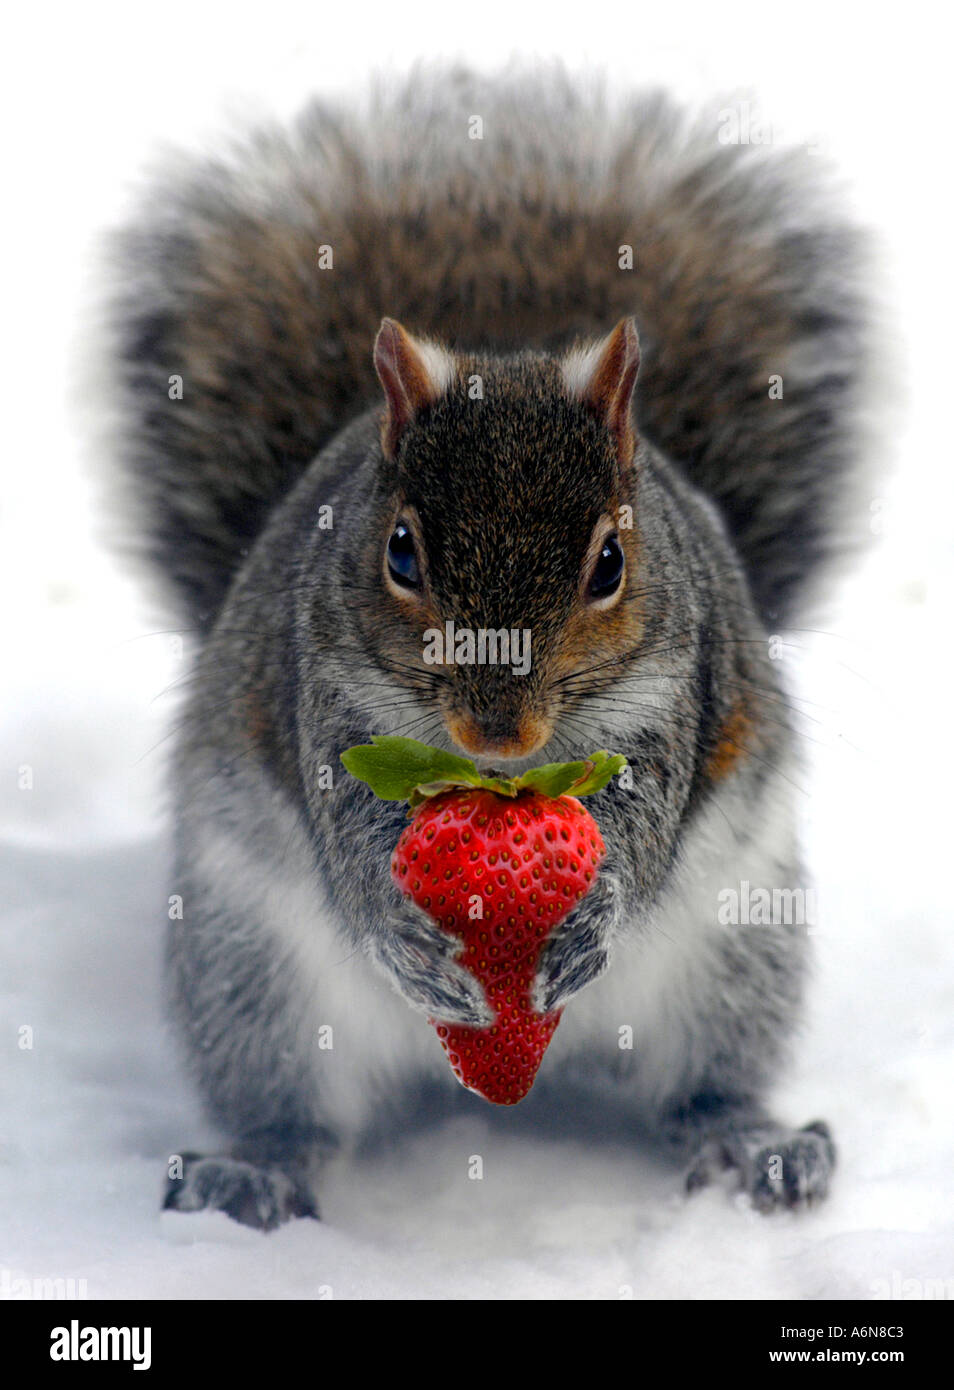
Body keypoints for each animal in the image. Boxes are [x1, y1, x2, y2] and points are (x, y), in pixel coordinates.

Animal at [104, 70, 870, 1229]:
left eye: (610, 562)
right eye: (400, 551)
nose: (496, 731)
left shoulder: (671, 699)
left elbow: (640, 827)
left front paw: (596, 913)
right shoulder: (326, 700)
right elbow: (350, 837)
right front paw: (396, 927)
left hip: (739, 955)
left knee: (702, 1080)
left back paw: (749, 1143)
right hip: (250, 975)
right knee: (289, 1098)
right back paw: (260, 1167)